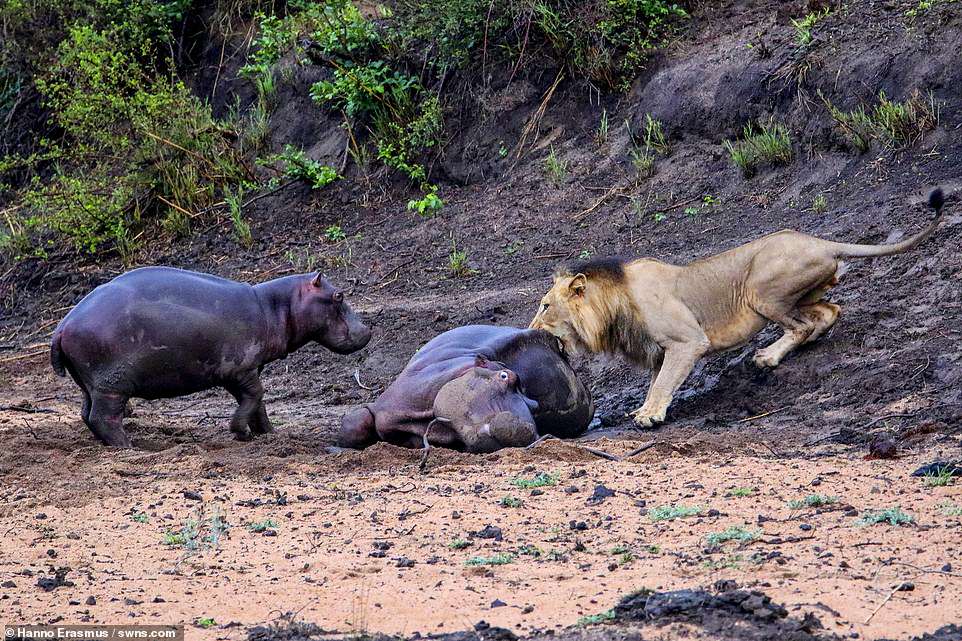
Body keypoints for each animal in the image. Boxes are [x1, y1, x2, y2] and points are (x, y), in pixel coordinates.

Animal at [48, 264, 374, 444]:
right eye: (338, 295)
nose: (368, 330)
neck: (275, 306)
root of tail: (63, 325)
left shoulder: (247, 369)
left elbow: (258, 403)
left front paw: (269, 435)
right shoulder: (239, 369)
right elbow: (255, 396)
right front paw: (241, 432)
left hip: (90, 383)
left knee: (86, 413)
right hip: (111, 384)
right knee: (103, 417)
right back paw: (129, 447)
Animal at [532, 190, 944, 430]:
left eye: (545, 305)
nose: (532, 329)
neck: (613, 305)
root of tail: (821, 242)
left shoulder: (687, 341)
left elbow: (664, 382)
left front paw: (649, 416)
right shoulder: (657, 351)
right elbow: (657, 381)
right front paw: (648, 409)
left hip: (761, 290)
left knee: (801, 325)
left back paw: (767, 357)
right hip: (803, 293)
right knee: (828, 312)